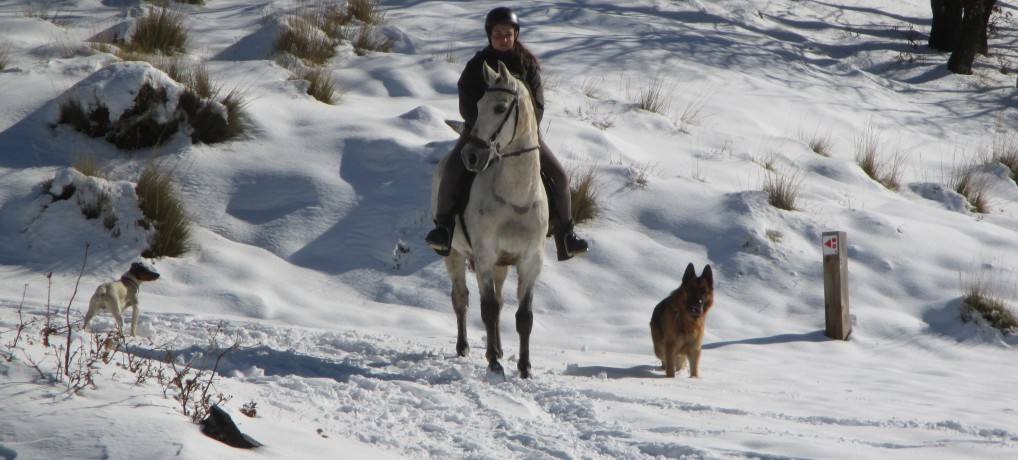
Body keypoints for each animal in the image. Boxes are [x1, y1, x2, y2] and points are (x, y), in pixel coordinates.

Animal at [433, 60, 553, 376]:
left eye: (500, 108)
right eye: (477, 105)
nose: (472, 156)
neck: (515, 198)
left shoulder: (530, 260)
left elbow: (523, 317)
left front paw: (524, 368)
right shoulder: (485, 255)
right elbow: (486, 309)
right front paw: (494, 363)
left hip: (501, 265)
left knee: (498, 302)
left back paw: (497, 347)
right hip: (455, 255)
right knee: (461, 299)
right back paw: (465, 347)